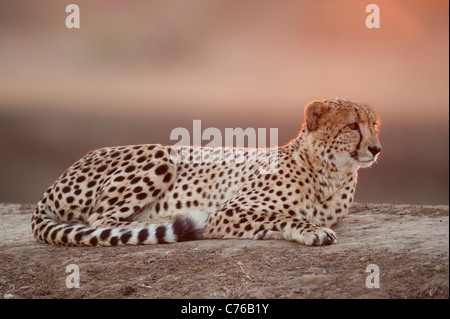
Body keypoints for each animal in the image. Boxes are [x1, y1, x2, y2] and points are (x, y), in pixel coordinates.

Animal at [31, 98, 382, 248]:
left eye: (374, 124)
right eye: (353, 126)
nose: (377, 148)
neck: (330, 172)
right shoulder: (228, 211)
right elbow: (282, 216)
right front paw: (312, 231)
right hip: (163, 153)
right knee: (99, 221)